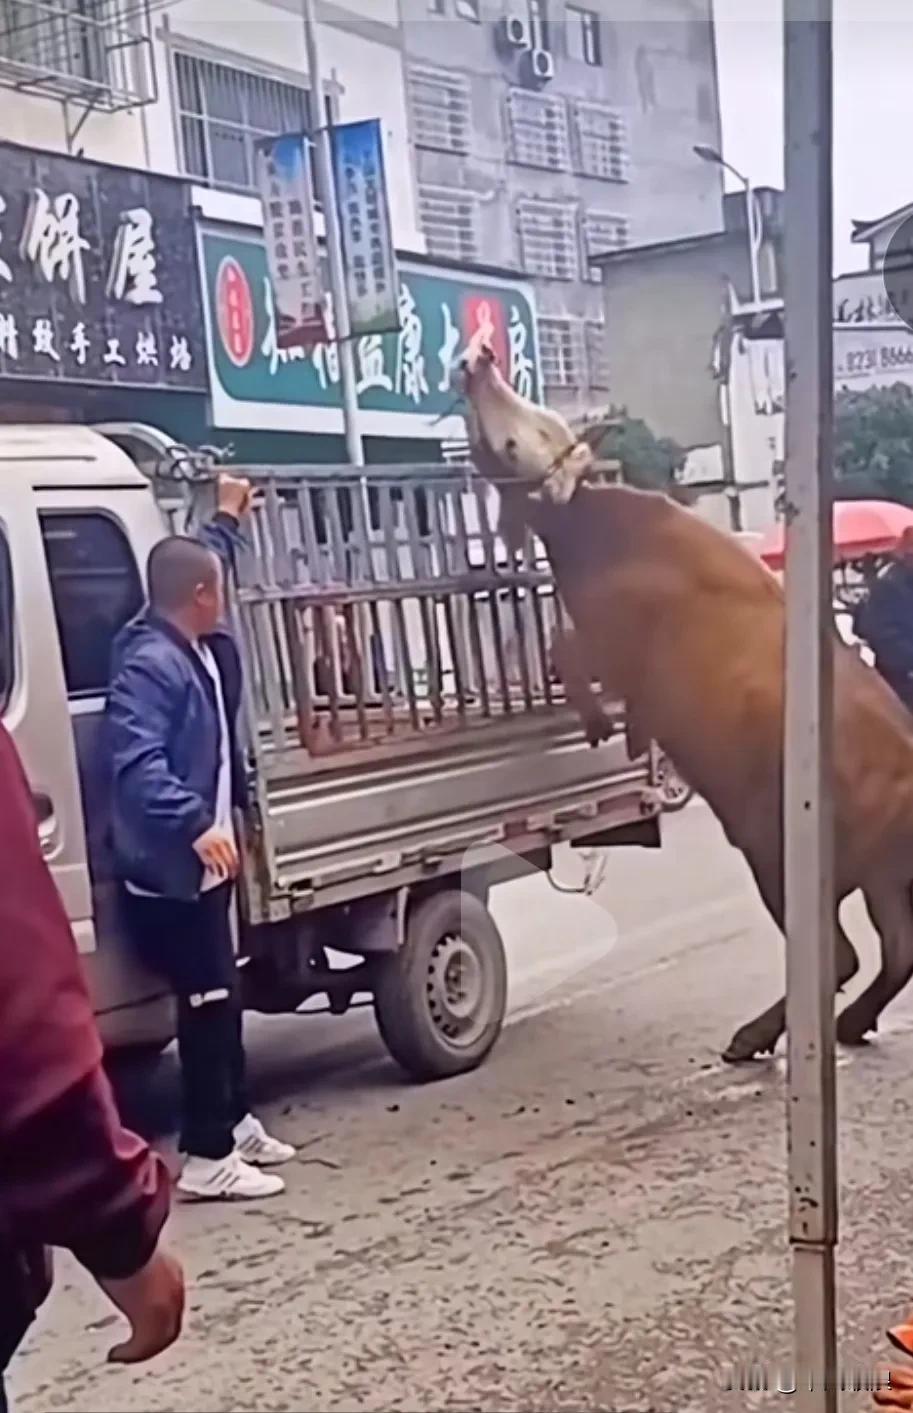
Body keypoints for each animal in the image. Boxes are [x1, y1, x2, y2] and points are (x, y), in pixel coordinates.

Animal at [466, 347, 913, 1062]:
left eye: (520, 437)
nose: (480, 362)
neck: (589, 534)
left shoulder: (616, 644)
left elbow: (563, 646)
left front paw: (606, 727)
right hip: (881, 875)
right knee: (895, 951)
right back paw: (846, 1024)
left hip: (780, 853)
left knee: (838, 956)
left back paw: (753, 1036)